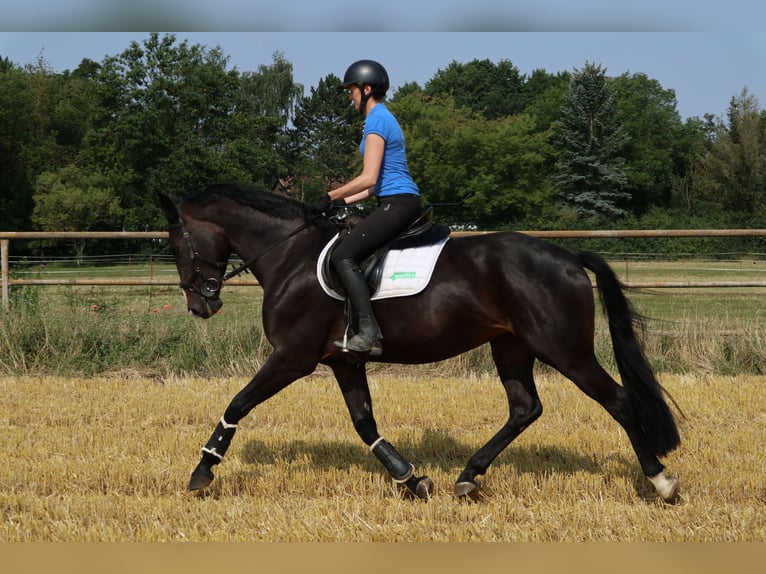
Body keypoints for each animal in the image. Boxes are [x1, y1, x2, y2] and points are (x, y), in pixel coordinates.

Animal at [158, 183, 684, 504]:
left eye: (177, 245)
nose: (200, 305)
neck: (291, 255)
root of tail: (569, 255)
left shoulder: (293, 357)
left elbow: (238, 402)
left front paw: (203, 471)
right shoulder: (343, 361)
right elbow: (365, 424)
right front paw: (411, 479)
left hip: (565, 350)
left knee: (618, 400)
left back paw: (661, 481)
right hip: (511, 347)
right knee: (524, 408)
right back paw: (468, 476)